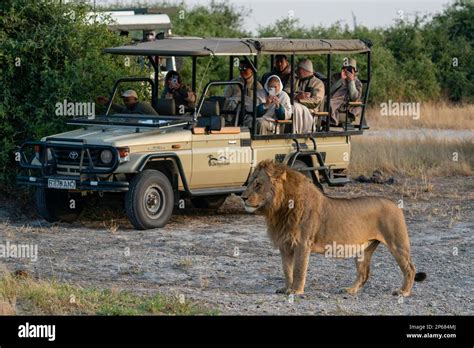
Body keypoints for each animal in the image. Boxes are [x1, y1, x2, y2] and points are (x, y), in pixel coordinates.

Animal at [241, 160, 426, 296]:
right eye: (249, 183)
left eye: (258, 184)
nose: (243, 197)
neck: (279, 209)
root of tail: (395, 204)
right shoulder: (285, 244)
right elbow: (287, 270)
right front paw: (286, 288)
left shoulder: (302, 243)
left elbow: (299, 270)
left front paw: (296, 291)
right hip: (363, 250)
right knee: (363, 274)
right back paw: (350, 290)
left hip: (397, 244)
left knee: (410, 269)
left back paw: (403, 292)